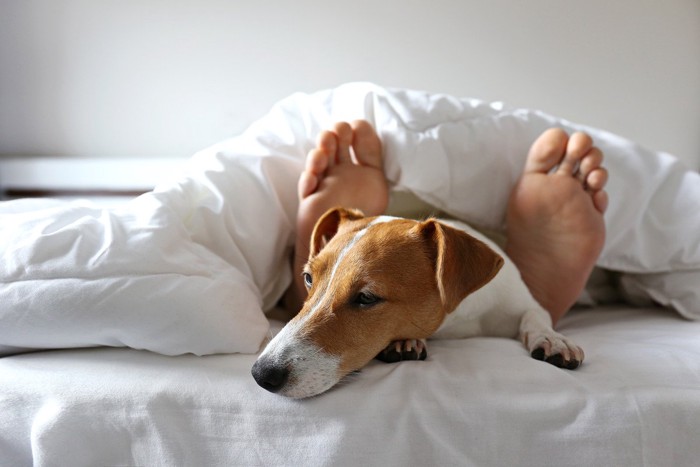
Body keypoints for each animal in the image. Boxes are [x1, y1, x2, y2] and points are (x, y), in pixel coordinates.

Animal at [253, 207, 584, 398]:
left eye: (366, 297)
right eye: (308, 278)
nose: (261, 374)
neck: (457, 321)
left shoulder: (518, 302)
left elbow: (536, 316)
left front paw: (553, 339)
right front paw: (406, 341)